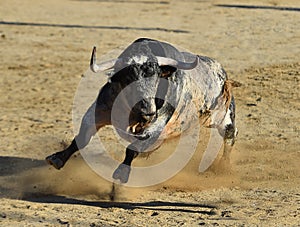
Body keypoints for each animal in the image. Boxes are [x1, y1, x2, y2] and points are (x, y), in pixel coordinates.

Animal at [45, 37, 240, 183]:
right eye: (128, 77)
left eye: (156, 76)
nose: (148, 111)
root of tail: (221, 72)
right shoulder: (98, 111)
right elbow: (82, 138)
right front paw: (57, 158)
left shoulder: (156, 126)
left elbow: (133, 148)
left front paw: (121, 173)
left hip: (223, 116)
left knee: (231, 133)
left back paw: (224, 166)